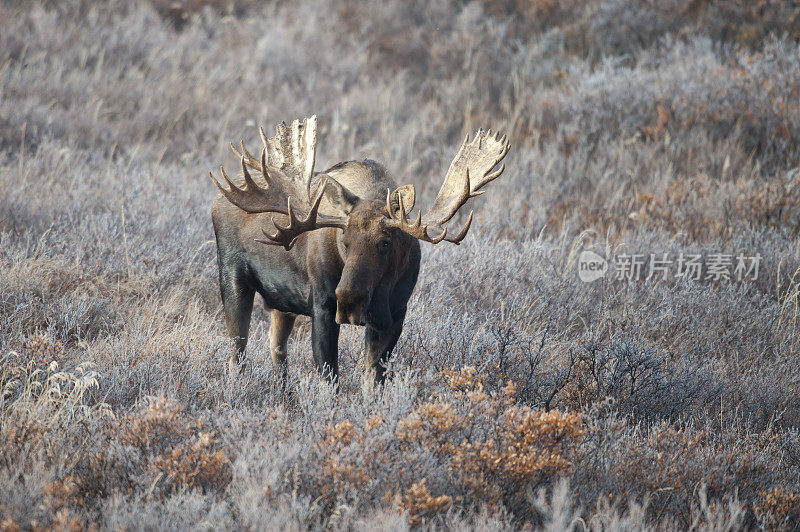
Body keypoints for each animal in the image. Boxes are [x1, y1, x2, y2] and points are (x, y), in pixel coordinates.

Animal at [209, 116, 510, 388]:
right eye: (345, 241)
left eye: (385, 243)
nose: (349, 300)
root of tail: (218, 199)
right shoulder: (322, 306)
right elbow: (330, 379)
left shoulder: (395, 315)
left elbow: (372, 380)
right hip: (232, 278)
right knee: (237, 354)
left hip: (281, 304)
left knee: (277, 352)